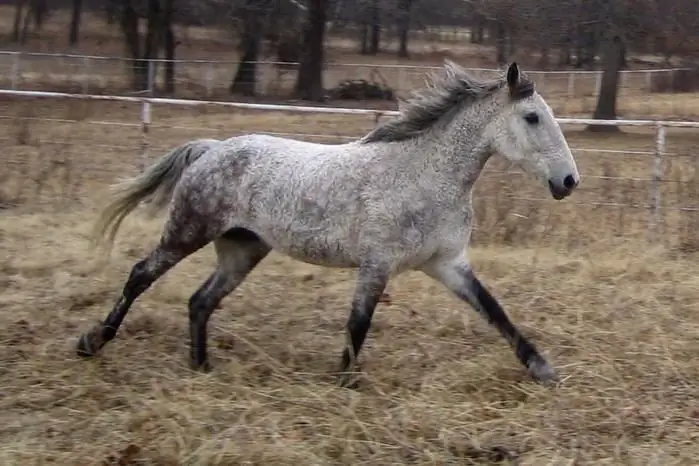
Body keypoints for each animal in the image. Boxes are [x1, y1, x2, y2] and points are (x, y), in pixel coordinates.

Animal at [75, 62, 580, 390]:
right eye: (532, 117)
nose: (569, 181)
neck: (422, 175)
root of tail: (212, 148)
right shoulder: (377, 264)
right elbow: (358, 323)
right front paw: (344, 384)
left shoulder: (448, 264)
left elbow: (495, 311)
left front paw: (543, 371)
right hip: (188, 231)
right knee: (141, 275)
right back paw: (92, 342)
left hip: (243, 250)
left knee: (201, 301)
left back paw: (201, 367)